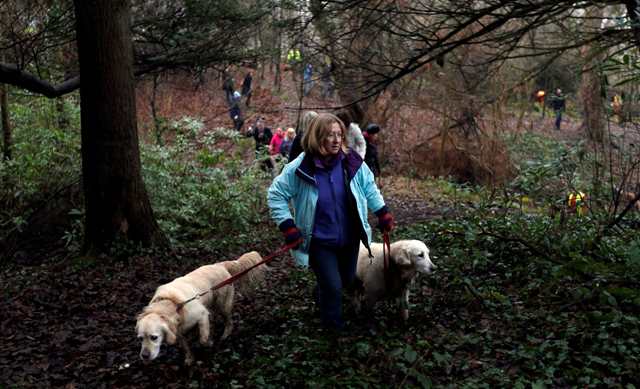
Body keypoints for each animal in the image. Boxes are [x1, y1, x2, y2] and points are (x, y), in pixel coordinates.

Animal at [135, 250, 264, 366]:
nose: (144, 356)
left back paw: (225, 334)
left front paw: (208, 342)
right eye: (140, 338)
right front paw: (189, 358)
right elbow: (186, 346)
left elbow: (203, 339)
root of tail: (219, 265)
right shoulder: (179, 331)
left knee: (229, 321)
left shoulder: (201, 314)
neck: (172, 304)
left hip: (223, 304)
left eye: (154, 337)